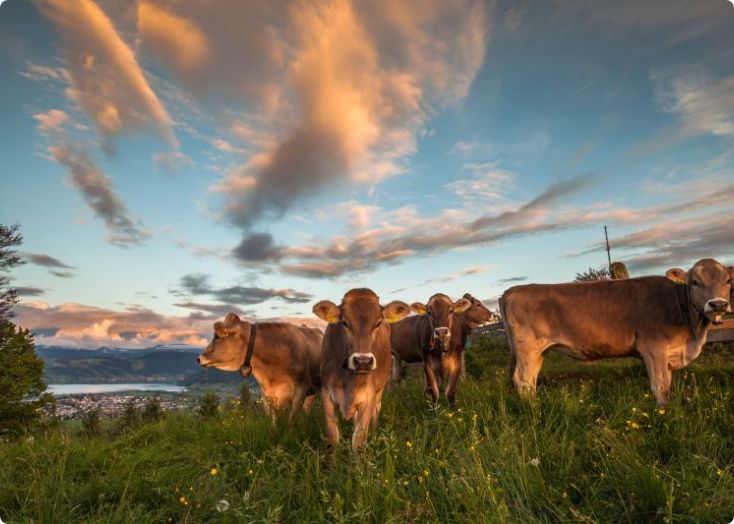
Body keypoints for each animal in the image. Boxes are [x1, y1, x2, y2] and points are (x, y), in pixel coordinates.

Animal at [313, 289, 410, 449]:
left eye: (378, 323)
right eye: (344, 322)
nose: (363, 362)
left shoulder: (368, 396)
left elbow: (359, 440)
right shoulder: (326, 392)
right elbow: (333, 438)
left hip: (379, 392)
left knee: (376, 411)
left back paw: (374, 435)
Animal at [500, 258, 732, 405]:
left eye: (728, 281)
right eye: (695, 282)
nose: (718, 304)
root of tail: (514, 290)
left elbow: (667, 384)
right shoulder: (653, 349)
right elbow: (660, 387)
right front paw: (663, 413)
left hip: (538, 352)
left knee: (530, 381)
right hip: (527, 348)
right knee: (522, 380)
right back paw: (533, 411)